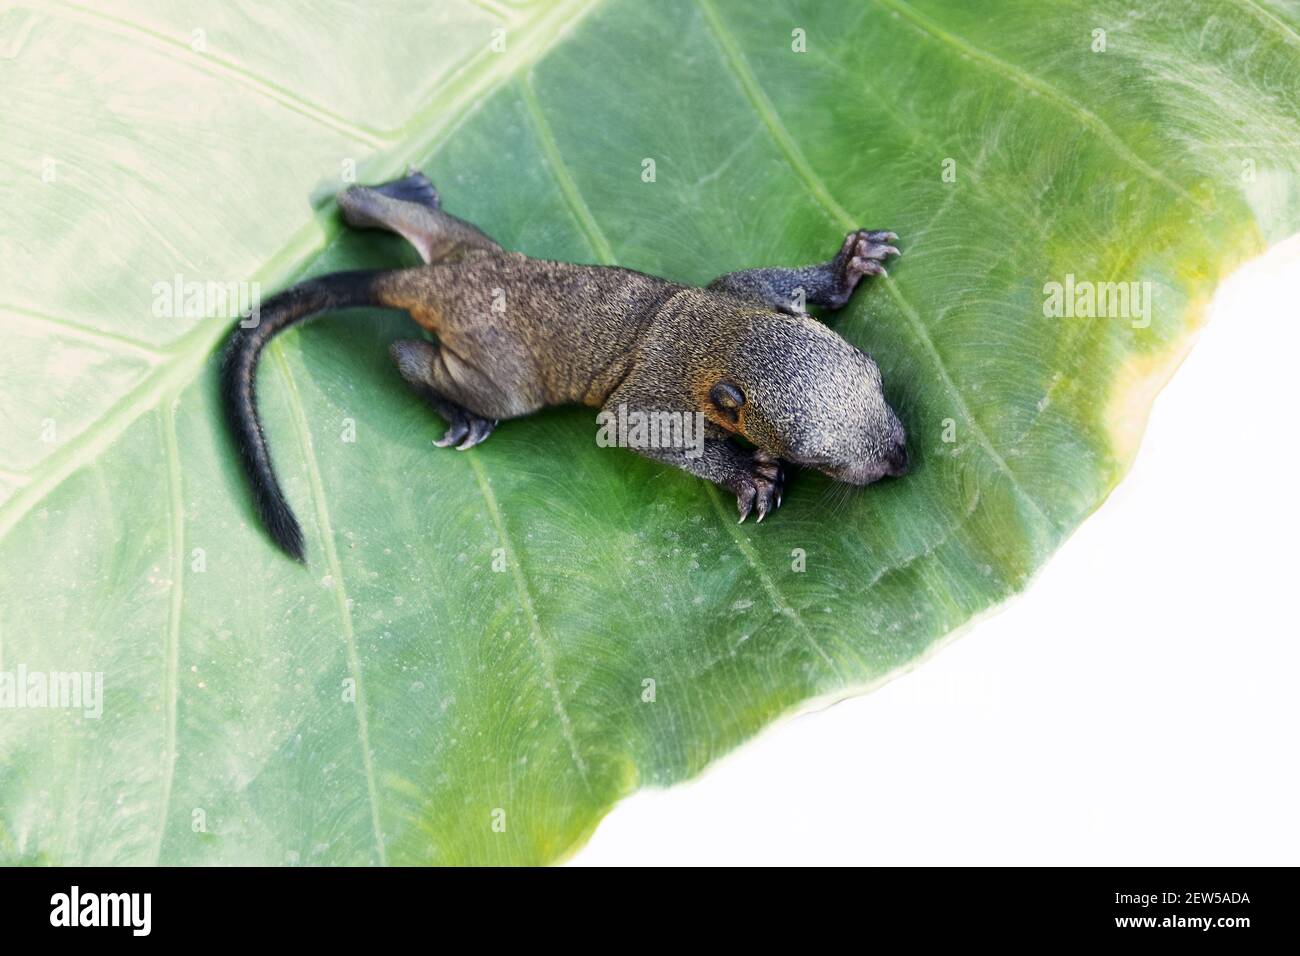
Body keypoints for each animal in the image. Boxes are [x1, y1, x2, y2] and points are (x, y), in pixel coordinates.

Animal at [221, 171, 908, 562]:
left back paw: (393, 195)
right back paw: (450, 402)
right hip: (503, 367)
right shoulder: (661, 390)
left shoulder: (744, 292)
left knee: (384, 209)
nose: (900, 458)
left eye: (875, 378)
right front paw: (747, 474)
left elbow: (785, 282)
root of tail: (428, 283)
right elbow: (625, 426)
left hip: (468, 246)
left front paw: (844, 267)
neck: (715, 336)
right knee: (420, 360)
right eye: (819, 459)